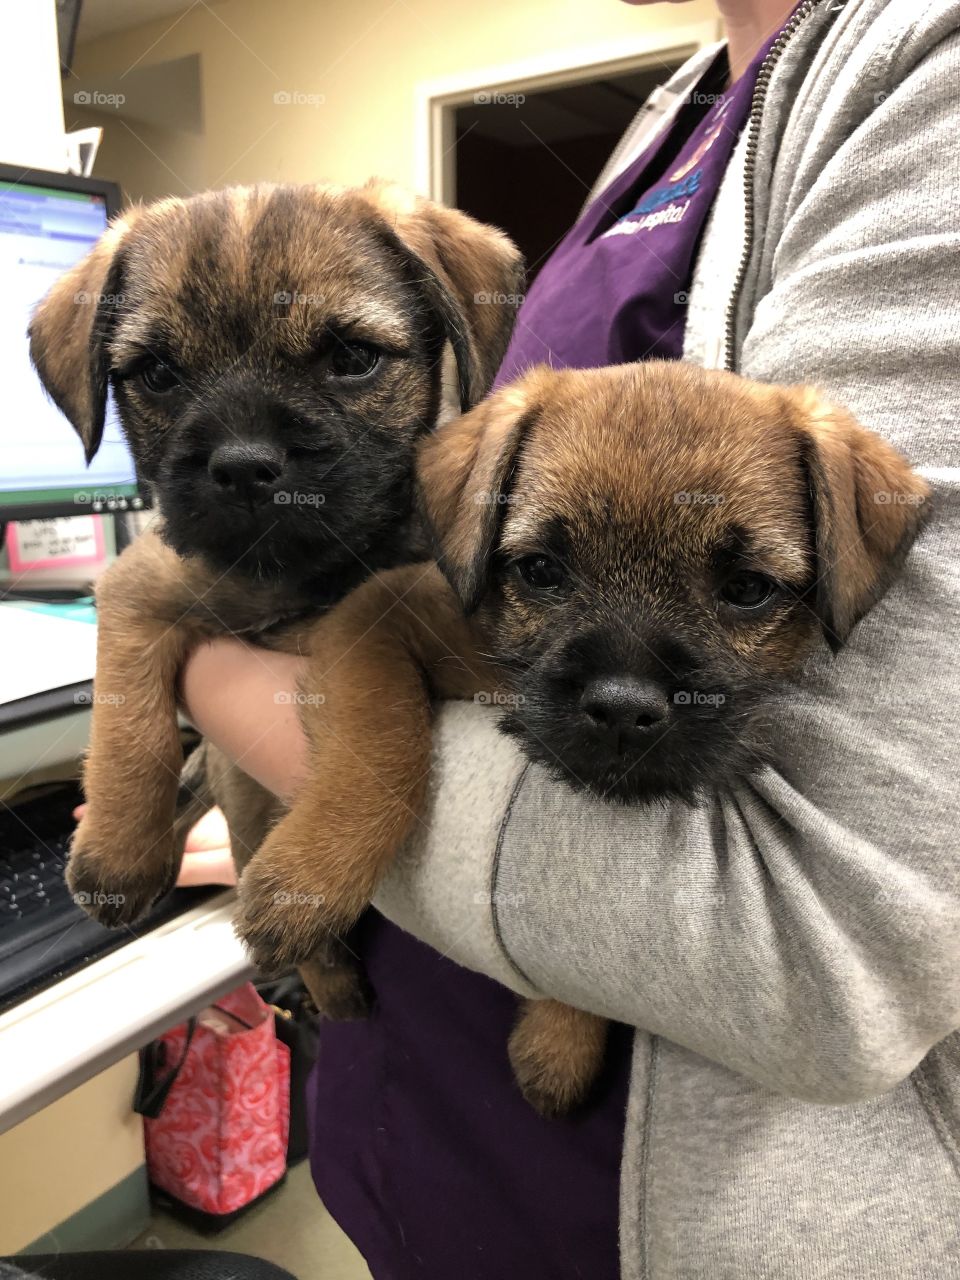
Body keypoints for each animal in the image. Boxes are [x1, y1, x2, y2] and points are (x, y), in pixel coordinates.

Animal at [30, 183, 522, 1018]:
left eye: (351, 358)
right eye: (157, 374)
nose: (243, 466)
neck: (304, 572)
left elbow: (388, 742)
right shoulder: (138, 585)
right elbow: (131, 725)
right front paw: (118, 850)